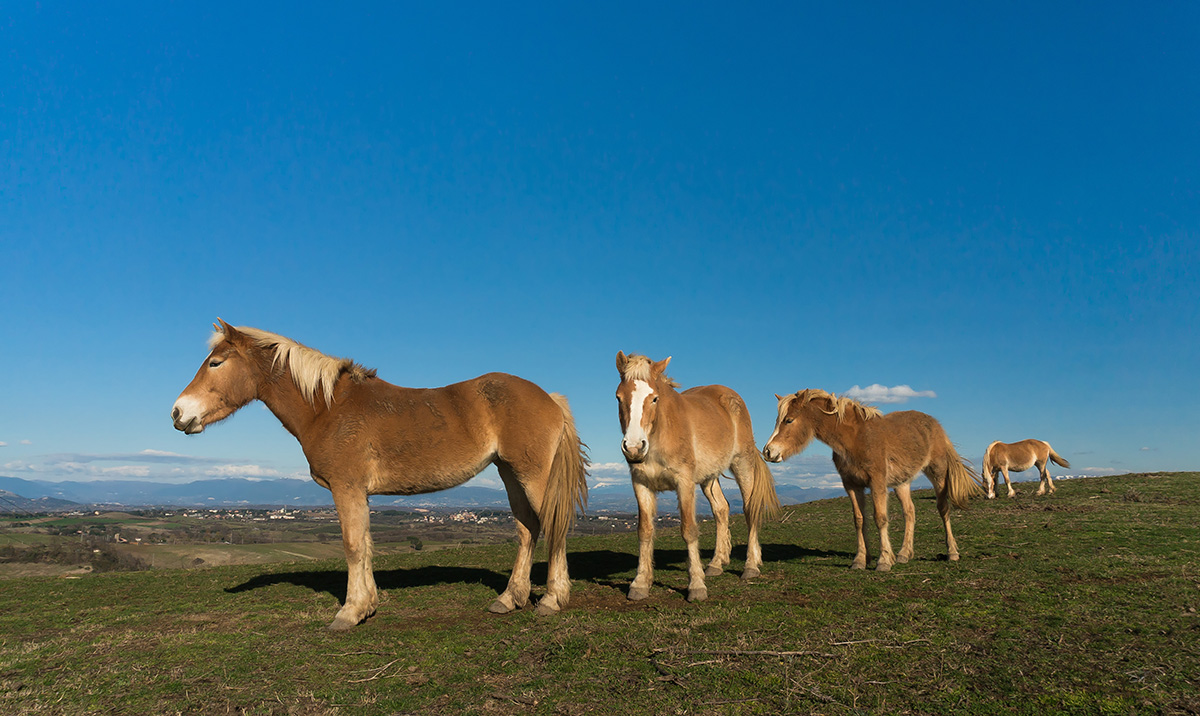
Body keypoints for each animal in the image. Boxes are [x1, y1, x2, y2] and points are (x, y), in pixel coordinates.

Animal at [171, 320, 588, 630]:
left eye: (215, 363)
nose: (178, 413)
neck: (328, 408)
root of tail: (550, 399)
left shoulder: (347, 488)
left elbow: (353, 546)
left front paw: (350, 612)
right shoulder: (359, 493)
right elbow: (367, 545)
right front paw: (368, 605)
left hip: (534, 476)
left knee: (554, 528)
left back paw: (551, 600)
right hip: (509, 473)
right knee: (527, 530)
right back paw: (509, 598)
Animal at [615, 352, 780, 603]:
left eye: (654, 399)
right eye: (619, 398)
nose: (634, 448)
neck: (662, 434)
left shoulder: (684, 484)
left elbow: (689, 530)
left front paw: (696, 586)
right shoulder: (641, 484)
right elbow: (644, 531)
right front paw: (640, 583)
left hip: (742, 463)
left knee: (750, 509)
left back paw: (751, 566)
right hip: (709, 478)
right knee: (721, 509)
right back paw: (715, 564)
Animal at [762, 389, 982, 571]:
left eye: (789, 420)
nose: (768, 452)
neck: (856, 438)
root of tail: (935, 424)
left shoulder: (877, 482)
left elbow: (880, 518)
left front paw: (883, 561)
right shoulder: (851, 485)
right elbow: (859, 520)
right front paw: (860, 560)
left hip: (937, 474)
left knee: (943, 509)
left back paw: (952, 552)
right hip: (901, 483)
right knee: (909, 512)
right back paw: (904, 554)